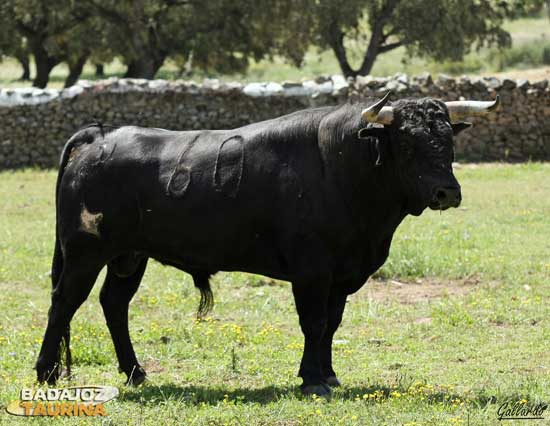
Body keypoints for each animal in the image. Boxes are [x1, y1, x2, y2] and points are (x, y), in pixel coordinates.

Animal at [34, 96, 490, 396]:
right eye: (408, 143)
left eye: (449, 141)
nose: (447, 192)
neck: (343, 168)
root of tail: (100, 136)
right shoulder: (311, 271)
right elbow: (314, 323)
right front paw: (312, 380)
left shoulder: (341, 275)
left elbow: (332, 323)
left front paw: (328, 374)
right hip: (85, 252)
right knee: (64, 303)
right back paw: (46, 373)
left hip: (129, 256)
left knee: (114, 304)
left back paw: (135, 372)